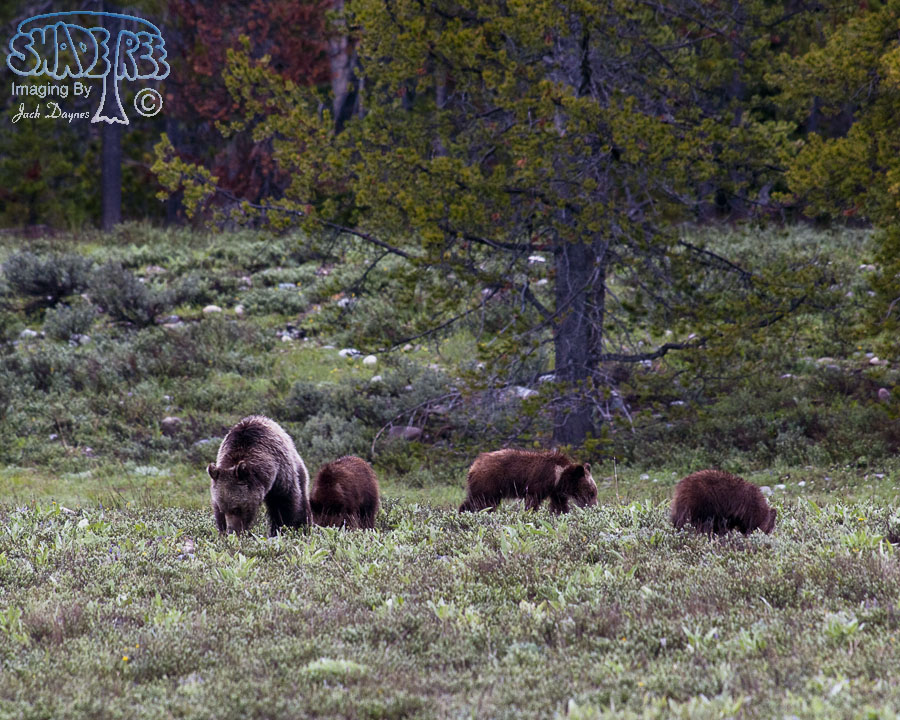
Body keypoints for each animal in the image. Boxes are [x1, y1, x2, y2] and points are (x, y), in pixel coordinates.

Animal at [459, 449, 597, 513]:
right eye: (591, 493)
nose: (594, 507)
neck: (558, 477)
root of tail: (474, 465)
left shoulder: (556, 492)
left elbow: (559, 505)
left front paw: (561, 514)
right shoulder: (538, 484)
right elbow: (532, 502)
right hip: (489, 483)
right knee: (482, 503)